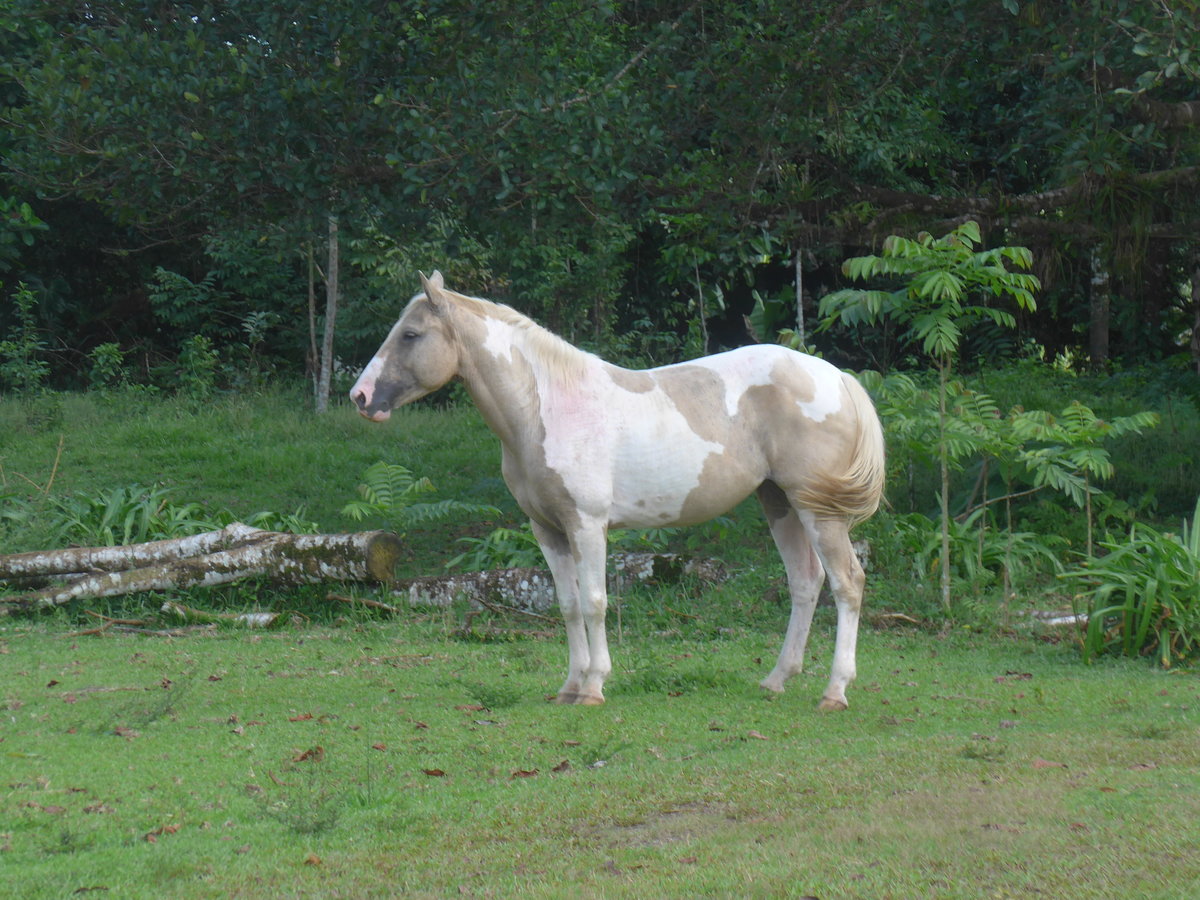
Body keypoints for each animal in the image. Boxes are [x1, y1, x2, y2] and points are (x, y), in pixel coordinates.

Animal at [351, 271, 885, 710]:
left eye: (411, 334)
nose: (360, 396)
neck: (545, 406)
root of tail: (836, 376)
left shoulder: (587, 525)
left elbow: (594, 601)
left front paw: (593, 687)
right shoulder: (546, 530)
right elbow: (566, 604)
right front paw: (569, 686)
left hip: (817, 510)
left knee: (847, 582)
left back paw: (835, 691)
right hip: (779, 503)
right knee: (805, 582)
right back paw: (776, 679)